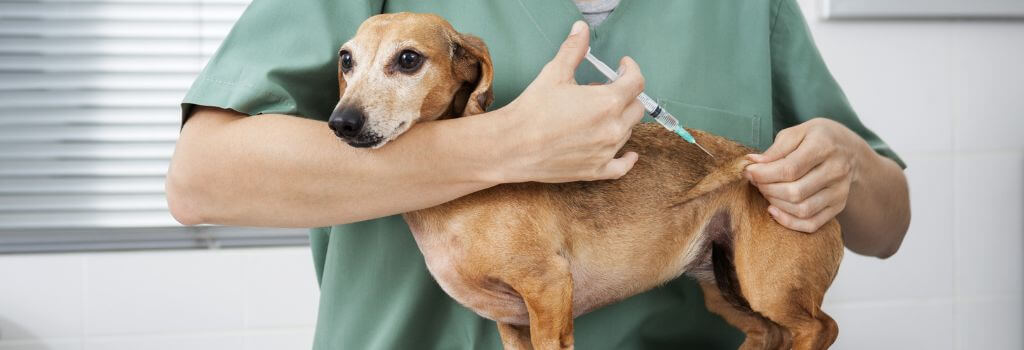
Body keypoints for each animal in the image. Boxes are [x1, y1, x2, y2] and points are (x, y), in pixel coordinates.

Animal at [325, 13, 839, 350]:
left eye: (409, 58)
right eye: (346, 60)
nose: (340, 123)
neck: (457, 203)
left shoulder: (549, 291)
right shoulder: (511, 323)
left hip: (768, 284)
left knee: (821, 328)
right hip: (725, 288)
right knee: (769, 332)